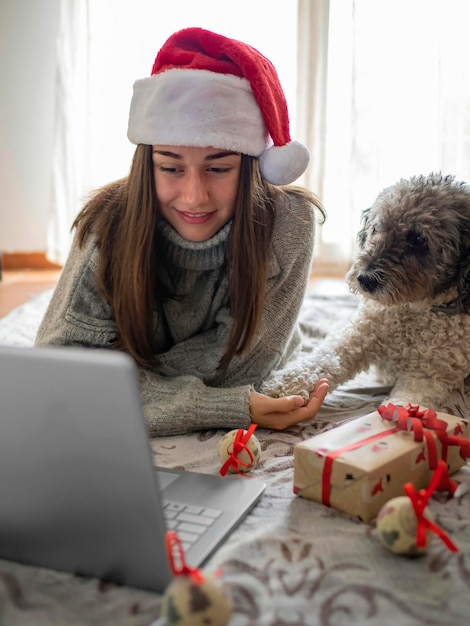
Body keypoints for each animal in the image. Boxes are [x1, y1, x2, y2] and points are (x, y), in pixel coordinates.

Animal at [262, 172, 470, 410]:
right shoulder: (358, 337)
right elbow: (322, 359)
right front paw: (283, 387)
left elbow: (407, 401)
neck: (413, 310)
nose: (365, 280)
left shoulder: (429, 376)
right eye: (377, 228)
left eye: (419, 239)